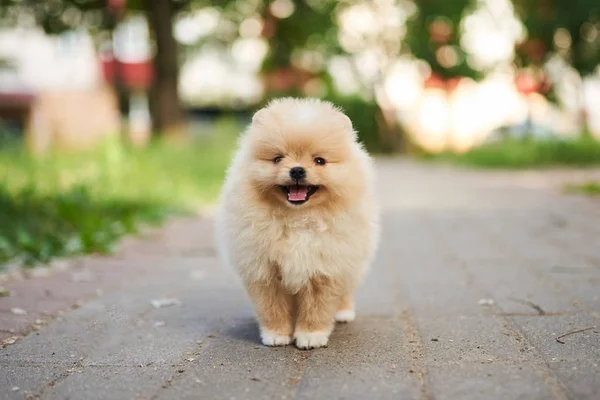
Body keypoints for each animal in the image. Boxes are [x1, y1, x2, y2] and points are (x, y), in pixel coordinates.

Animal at [216, 98, 380, 348]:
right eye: (277, 159)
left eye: (319, 161)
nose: (297, 170)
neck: (298, 219)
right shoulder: (264, 269)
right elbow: (272, 307)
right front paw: (276, 334)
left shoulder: (325, 267)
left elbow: (317, 307)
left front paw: (311, 336)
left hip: (355, 261)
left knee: (347, 289)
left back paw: (344, 312)